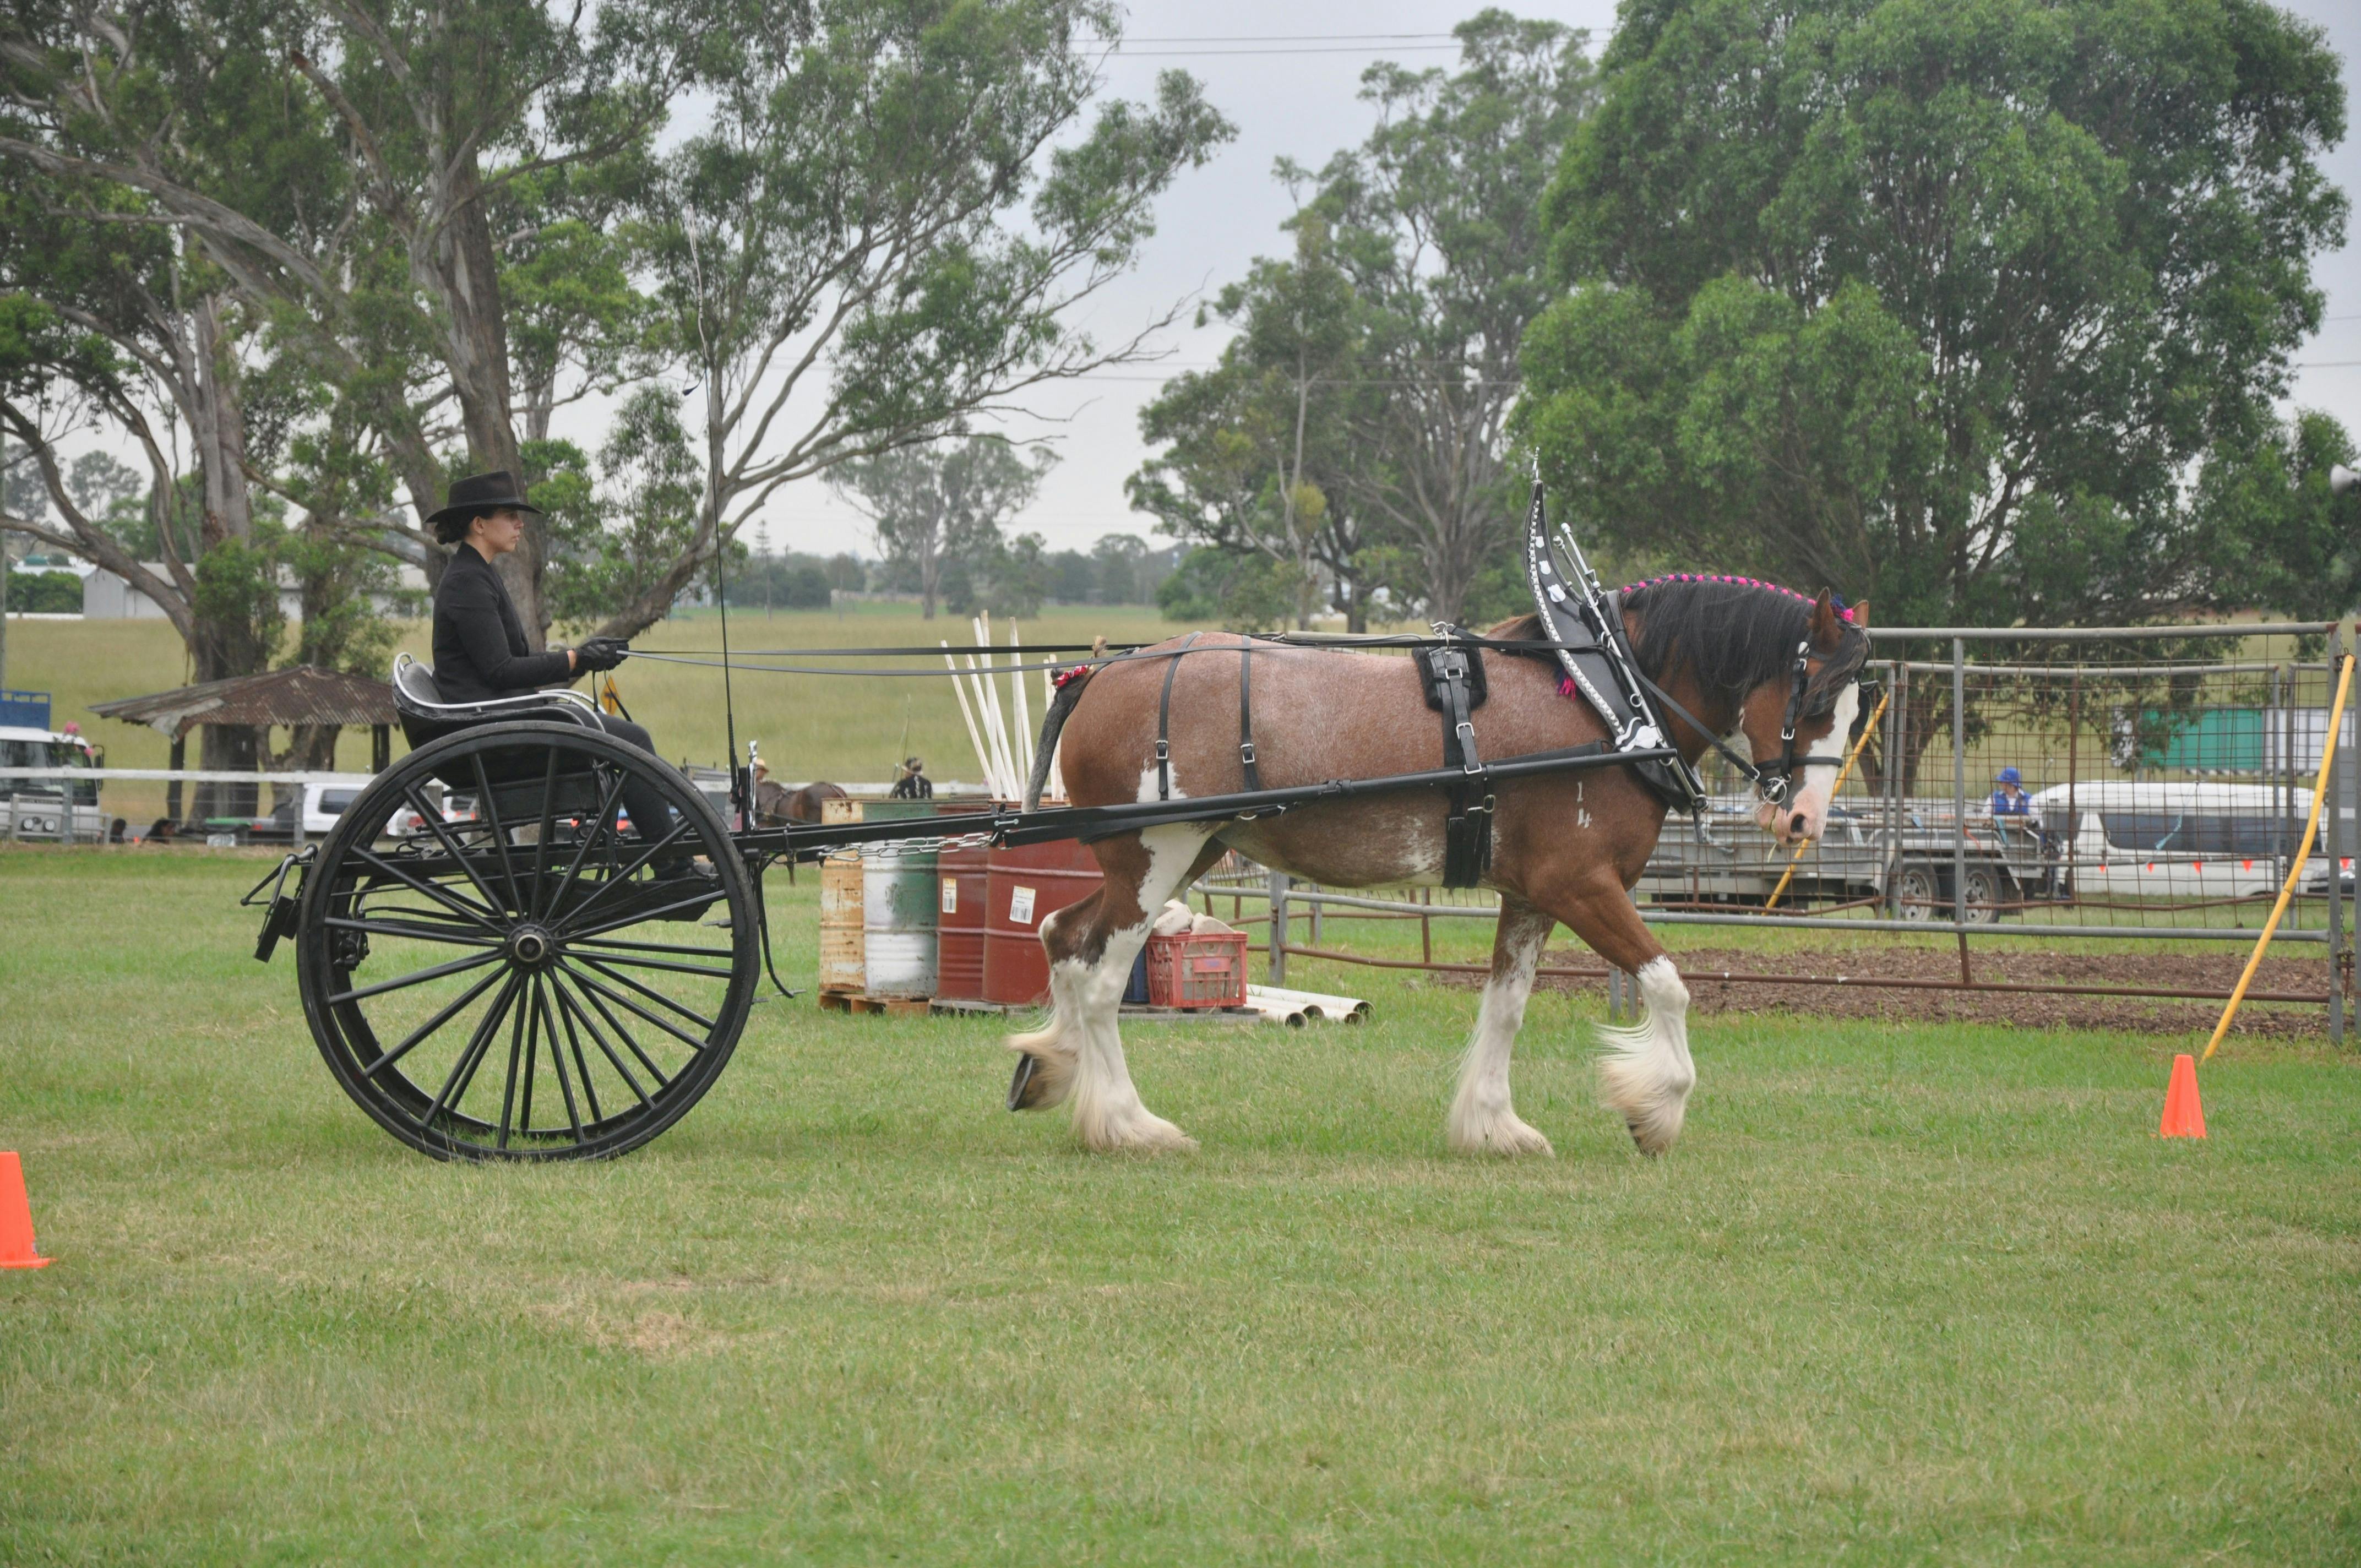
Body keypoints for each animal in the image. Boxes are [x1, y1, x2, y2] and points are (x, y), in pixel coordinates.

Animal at [1011, 576, 1871, 1157]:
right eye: (1816, 700)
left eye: (1856, 706)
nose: (1804, 818)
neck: (1606, 700)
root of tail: (1095, 676)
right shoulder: (1580, 885)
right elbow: (1667, 984)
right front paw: (1654, 1111)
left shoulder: (1532, 895)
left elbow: (1507, 1006)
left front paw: (1493, 1125)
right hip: (1156, 855)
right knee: (1099, 978)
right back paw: (1129, 1124)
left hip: (1182, 854)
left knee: (1062, 936)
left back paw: (1048, 1068)